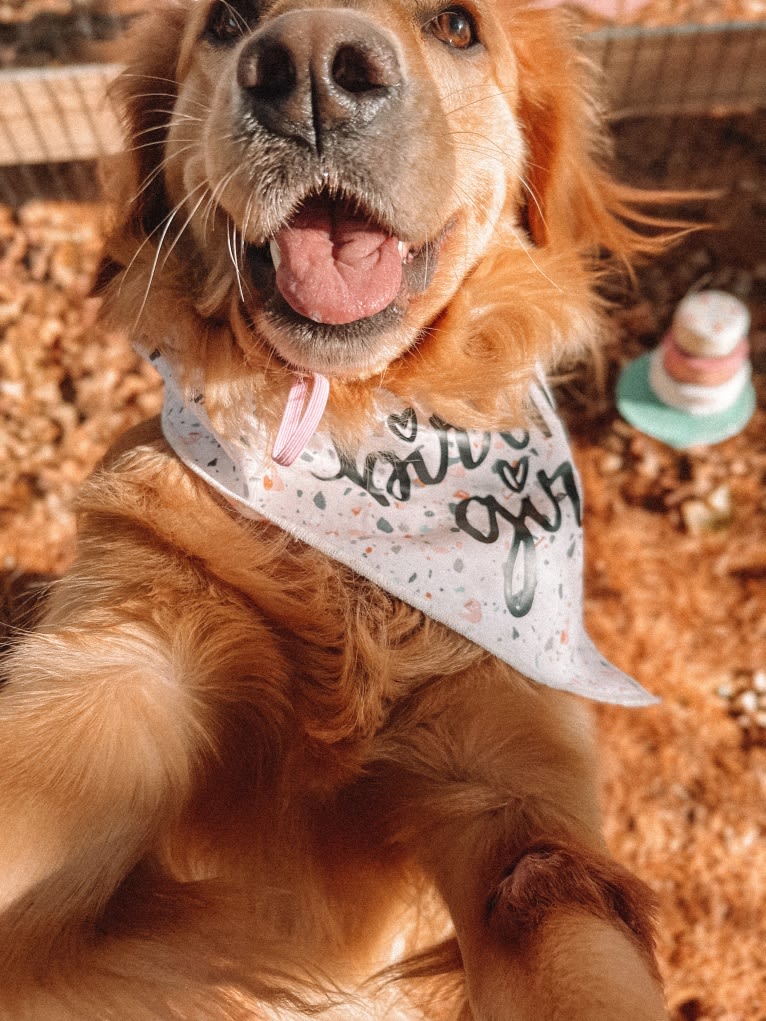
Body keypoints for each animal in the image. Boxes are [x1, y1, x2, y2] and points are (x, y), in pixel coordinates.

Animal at [0, 1, 669, 1021]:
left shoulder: (514, 783)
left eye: (459, 26)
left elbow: (563, 921)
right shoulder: (127, 661)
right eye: (227, 21)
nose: (310, 69)